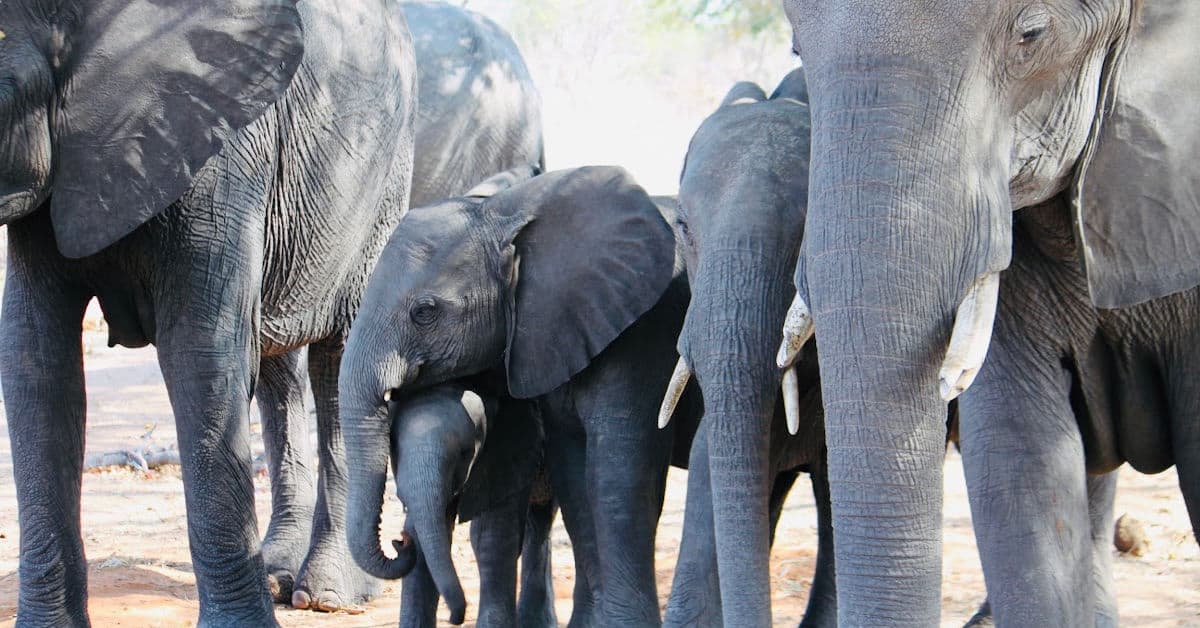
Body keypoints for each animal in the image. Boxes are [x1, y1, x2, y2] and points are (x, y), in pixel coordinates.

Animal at [0, 1, 416, 625]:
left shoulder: (219, 143)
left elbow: (202, 354)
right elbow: (36, 364)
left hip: (381, 182)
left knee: (342, 356)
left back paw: (329, 596)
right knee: (277, 366)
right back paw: (280, 575)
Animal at [340, 165, 693, 626]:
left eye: (424, 312)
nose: (398, 545)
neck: (505, 214)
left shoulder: (642, 330)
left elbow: (616, 469)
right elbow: (569, 472)